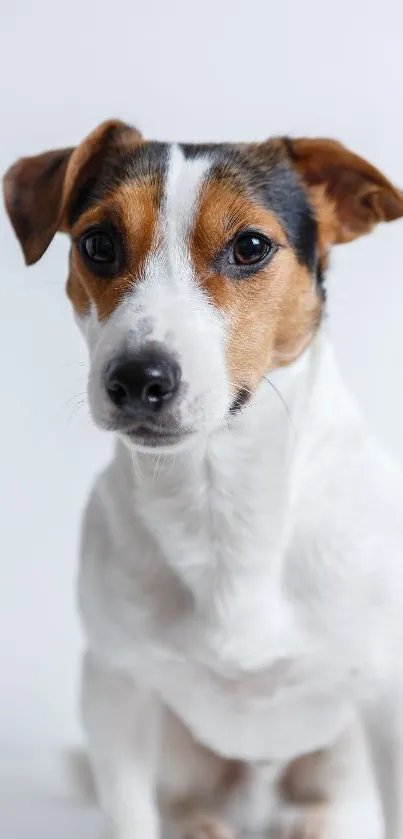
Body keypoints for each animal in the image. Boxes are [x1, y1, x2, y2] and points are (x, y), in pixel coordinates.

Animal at [3, 120, 403, 839]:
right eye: (97, 243)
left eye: (250, 246)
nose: (137, 379)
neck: (220, 492)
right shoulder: (115, 693)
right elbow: (130, 818)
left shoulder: (390, 702)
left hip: (338, 756)